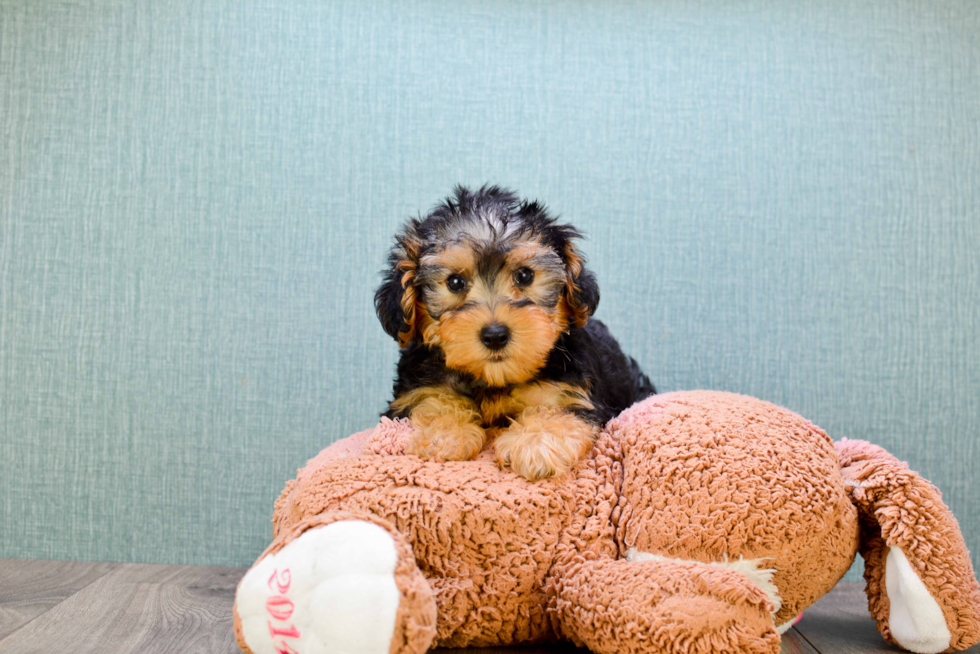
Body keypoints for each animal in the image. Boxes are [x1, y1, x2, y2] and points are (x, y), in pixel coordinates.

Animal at [376, 186, 660, 482]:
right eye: (455, 282)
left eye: (524, 276)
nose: (495, 335)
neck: (494, 379)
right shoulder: (417, 389)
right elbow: (432, 400)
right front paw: (444, 433)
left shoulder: (568, 392)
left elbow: (556, 411)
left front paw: (535, 444)